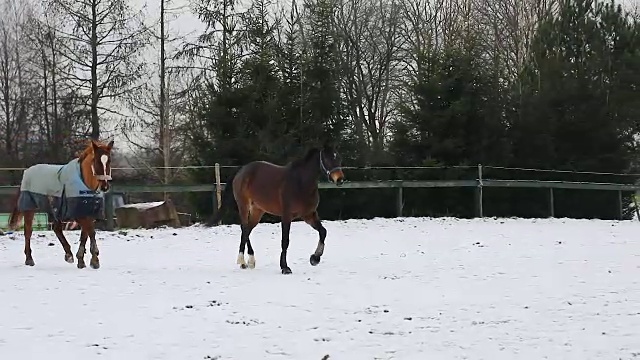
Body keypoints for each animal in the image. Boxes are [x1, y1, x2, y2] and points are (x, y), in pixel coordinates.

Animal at [7, 139, 115, 268]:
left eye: (109, 161)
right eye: (96, 160)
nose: (105, 186)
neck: (85, 185)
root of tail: (27, 172)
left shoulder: (88, 212)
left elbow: (85, 234)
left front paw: (81, 260)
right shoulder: (78, 214)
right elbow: (91, 232)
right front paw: (94, 260)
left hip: (53, 209)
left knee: (57, 229)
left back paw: (68, 254)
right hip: (29, 208)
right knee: (28, 231)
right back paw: (29, 259)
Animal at [210, 143, 344, 276]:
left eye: (338, 157)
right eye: (327, 158)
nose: (340, 179)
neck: (300, 183)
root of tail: (242, 170)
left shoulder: (309, 214)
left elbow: (323, 232)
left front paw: (315, 259)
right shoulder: (287, 216)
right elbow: (285, 241)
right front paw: (285, 267)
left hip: (257, 210)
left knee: (247, 230)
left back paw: (249, 262)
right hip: (244, 205)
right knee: (244, 228)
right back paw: (243, 261)